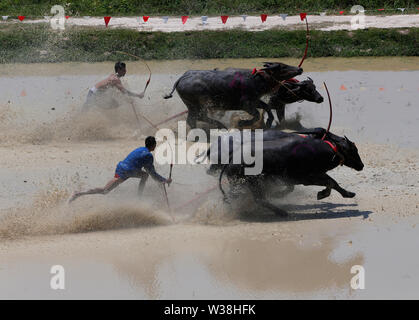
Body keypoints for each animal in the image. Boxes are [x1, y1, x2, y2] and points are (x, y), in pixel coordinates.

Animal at [162, 62, 304, 130]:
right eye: (282, 67)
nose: (300, 69)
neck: (256, 79)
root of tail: (181, 78)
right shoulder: (246, 105)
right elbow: (257, 115)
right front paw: (242, 122)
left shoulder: (255, 101)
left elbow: (267, 108)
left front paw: (269, 122)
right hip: (195, 105)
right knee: (193, 119)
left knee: (198, 118)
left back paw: (220, 126)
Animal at [217, 129, 364, 216]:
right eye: (353, 150)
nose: (361, 165)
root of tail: (232, 157)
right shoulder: (308, 177)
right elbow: (332, 182)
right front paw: (342, 194)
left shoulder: (305, 177)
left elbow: (332, 183)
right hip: (252, 183)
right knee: (259, 199)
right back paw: (282, 212)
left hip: (241, 184)